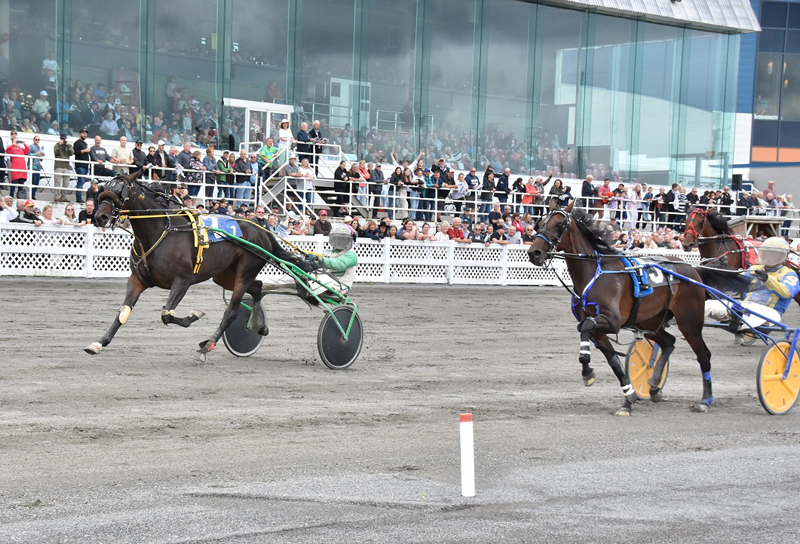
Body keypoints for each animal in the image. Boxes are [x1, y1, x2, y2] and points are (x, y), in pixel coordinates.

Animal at [86, 170, 312, 356]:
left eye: (121, 191)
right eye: (103, 189)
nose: (100, 216)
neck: (160, 232)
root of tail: (259, 227)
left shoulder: (183, 280)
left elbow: (166, 313)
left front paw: (193, 316)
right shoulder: (137, 280)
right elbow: (123, 312)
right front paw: (100, 342)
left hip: (245, 271)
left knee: (232, 312)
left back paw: (208, 345)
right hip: (224, 275)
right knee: (257, 287)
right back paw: (259, 326)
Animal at [532, 202, 712, 414]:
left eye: (559, 224)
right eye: (539, 223)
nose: (534, 253)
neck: (594, 273)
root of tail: (692, 269)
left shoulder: (612, 321)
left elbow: (585, 327)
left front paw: (587, 372)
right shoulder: (598, 329)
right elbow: (614, 363)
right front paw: (628, 400)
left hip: (689, 322)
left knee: (704, 355)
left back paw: (705, 400)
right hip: (649, 321)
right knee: (669, 342)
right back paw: (654, 385)